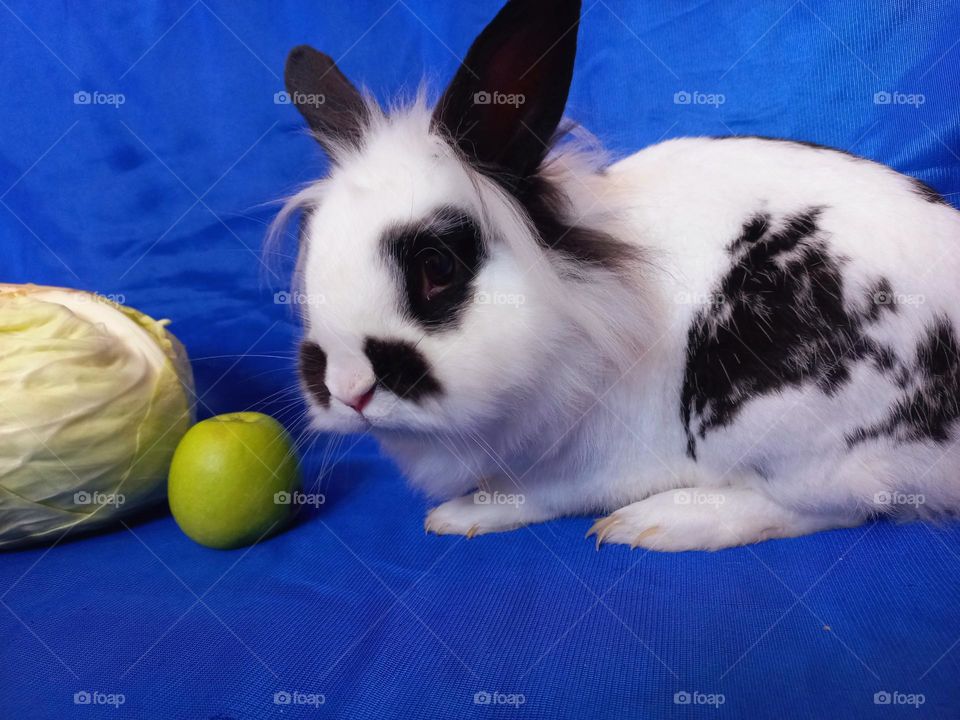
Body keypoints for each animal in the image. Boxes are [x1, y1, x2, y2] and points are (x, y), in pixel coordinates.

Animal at [275, 0, 960, 550]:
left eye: (438, 267)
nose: (349, 390)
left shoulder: (589, 465)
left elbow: (533, 493)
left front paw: (459, 514)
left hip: (780, 420)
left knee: (832, 505)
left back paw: (657, 524)